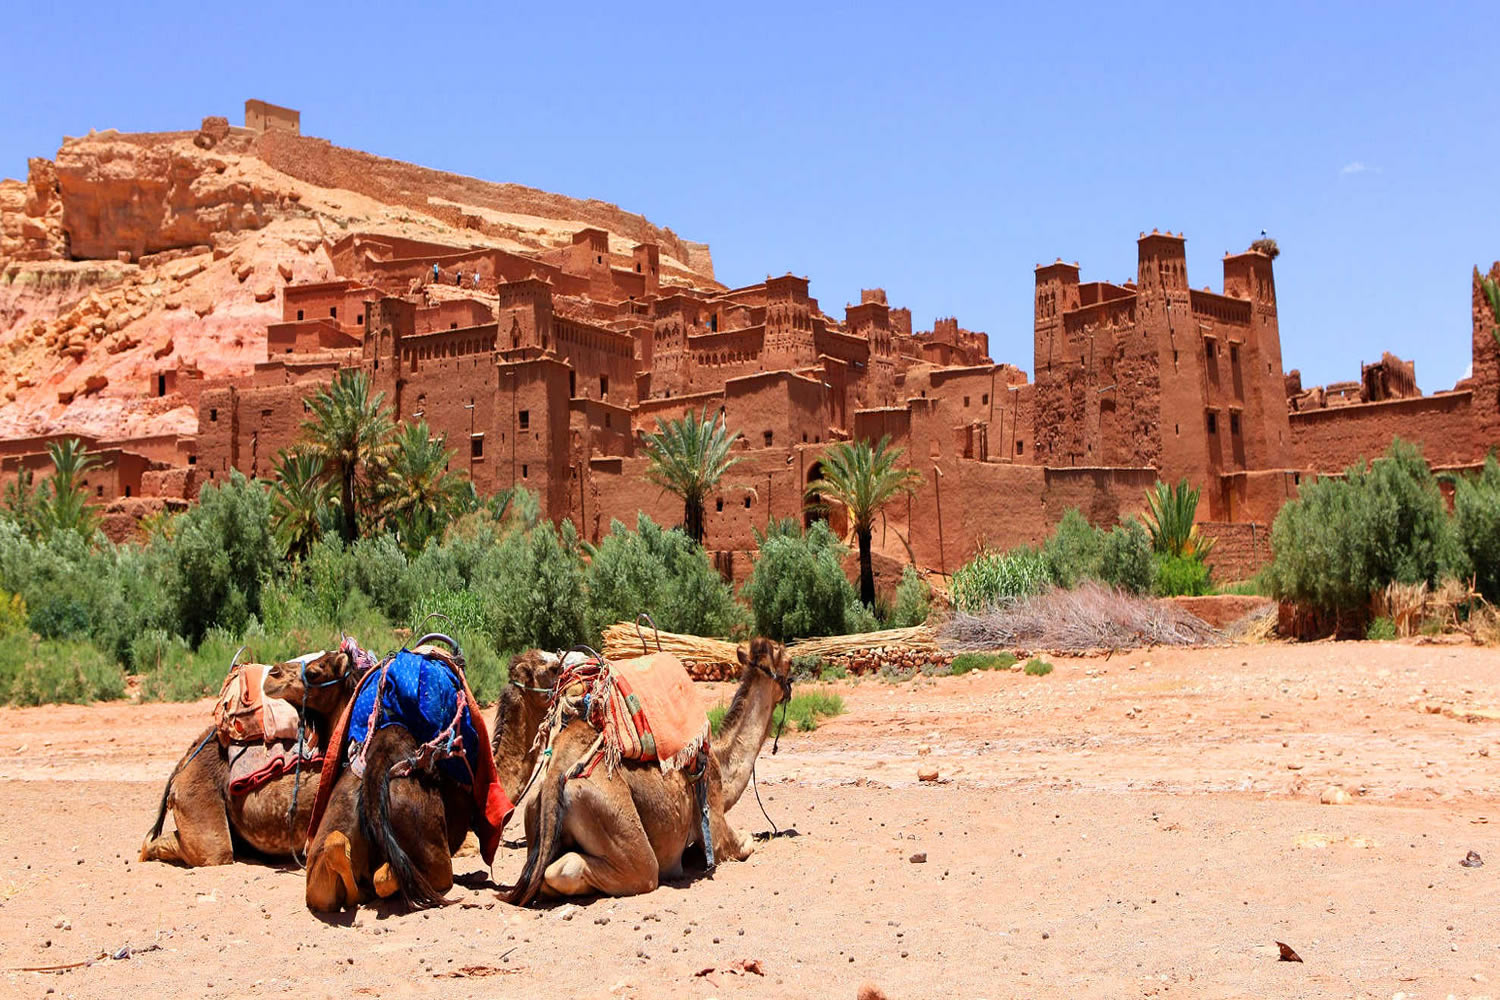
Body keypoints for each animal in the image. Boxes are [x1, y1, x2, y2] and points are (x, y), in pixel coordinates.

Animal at [507, 636, 793, 904]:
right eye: (788, 661)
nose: (792, 681)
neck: (721, 763)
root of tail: (555, 774)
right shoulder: (716, 827)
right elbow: (746, 842)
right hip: (611, 818)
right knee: (595, 869)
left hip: (534, 808)